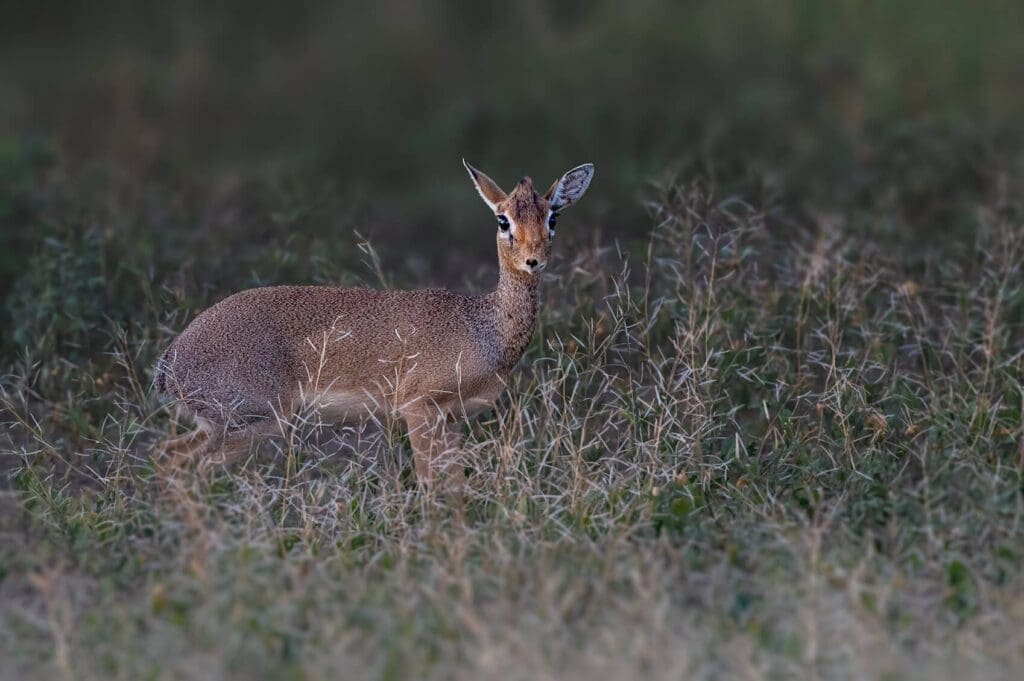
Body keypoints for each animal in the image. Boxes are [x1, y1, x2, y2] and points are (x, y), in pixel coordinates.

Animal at [151, 160, 593, 483]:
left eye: (552, 217)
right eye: (504, 220)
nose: (534, 260)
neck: (484, 327)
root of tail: (170, 362)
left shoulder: (450, 419)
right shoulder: (419, 409)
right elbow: (431, 483)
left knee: (168, 457)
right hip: (251, 421)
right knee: (177, 461)